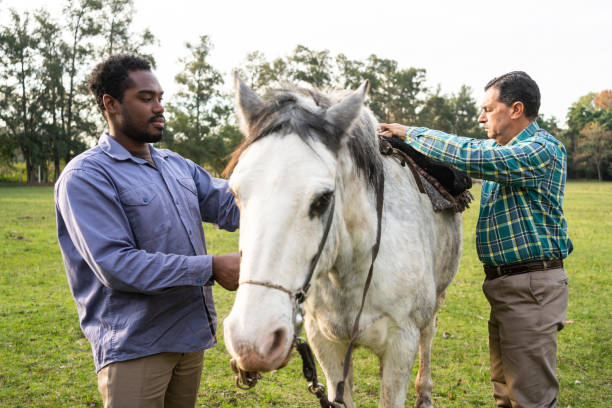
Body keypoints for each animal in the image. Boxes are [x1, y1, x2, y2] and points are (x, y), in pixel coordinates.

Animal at [222, 74, 462, 408]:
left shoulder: (401, 344)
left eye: (323, 199)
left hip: (436, 298)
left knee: (430, 333)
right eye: (235, 193)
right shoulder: (325, 343)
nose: (252, 341)